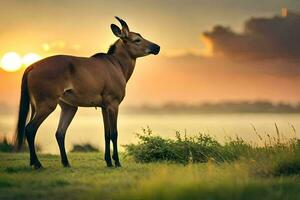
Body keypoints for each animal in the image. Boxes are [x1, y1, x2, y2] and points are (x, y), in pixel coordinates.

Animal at [14, 16, 159, 168]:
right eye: (137, 40)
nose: (157, 47)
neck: (116, 64)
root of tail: (31, 67)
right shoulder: (113, 105)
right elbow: (114, 133)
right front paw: (117, 162)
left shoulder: (104, 107)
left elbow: (106, 134)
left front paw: (108, 161)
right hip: (47, 104)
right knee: (30, 129)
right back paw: (37, 163)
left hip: (65, 107)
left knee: (59, 132)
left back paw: (63, 162)